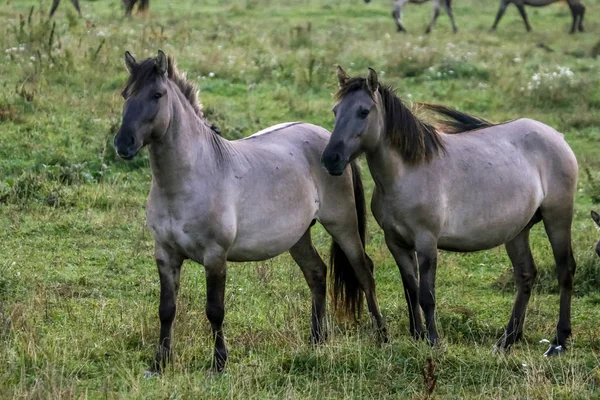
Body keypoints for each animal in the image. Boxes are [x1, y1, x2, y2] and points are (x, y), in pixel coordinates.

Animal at [111, 52, 390, 372]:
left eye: (157, 95)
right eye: (125, 94)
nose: (123, 143)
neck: (188, 178)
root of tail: (331, 143)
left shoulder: (215, 256)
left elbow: (215, 310)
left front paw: (219, 363)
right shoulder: (165, 255)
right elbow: (167, 309)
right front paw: (159, 363)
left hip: (342, 225)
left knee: (363, 270)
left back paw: (382, 336)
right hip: (298, 236)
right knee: (317, 273)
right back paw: (317, 339)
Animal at [322, 68, 580, 356]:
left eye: (364, 111)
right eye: (336, 111)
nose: (331, 159)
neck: (407, 174)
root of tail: (556, 136)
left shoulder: (426, 242)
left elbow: (427, 295)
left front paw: (433, 341)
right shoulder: (396, 243)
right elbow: (411, 290)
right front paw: (417, 335)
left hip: (558, 218)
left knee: (565, 270)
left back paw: (558, 341)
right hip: (517, 231)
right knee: (526, 275)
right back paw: (507, 340)